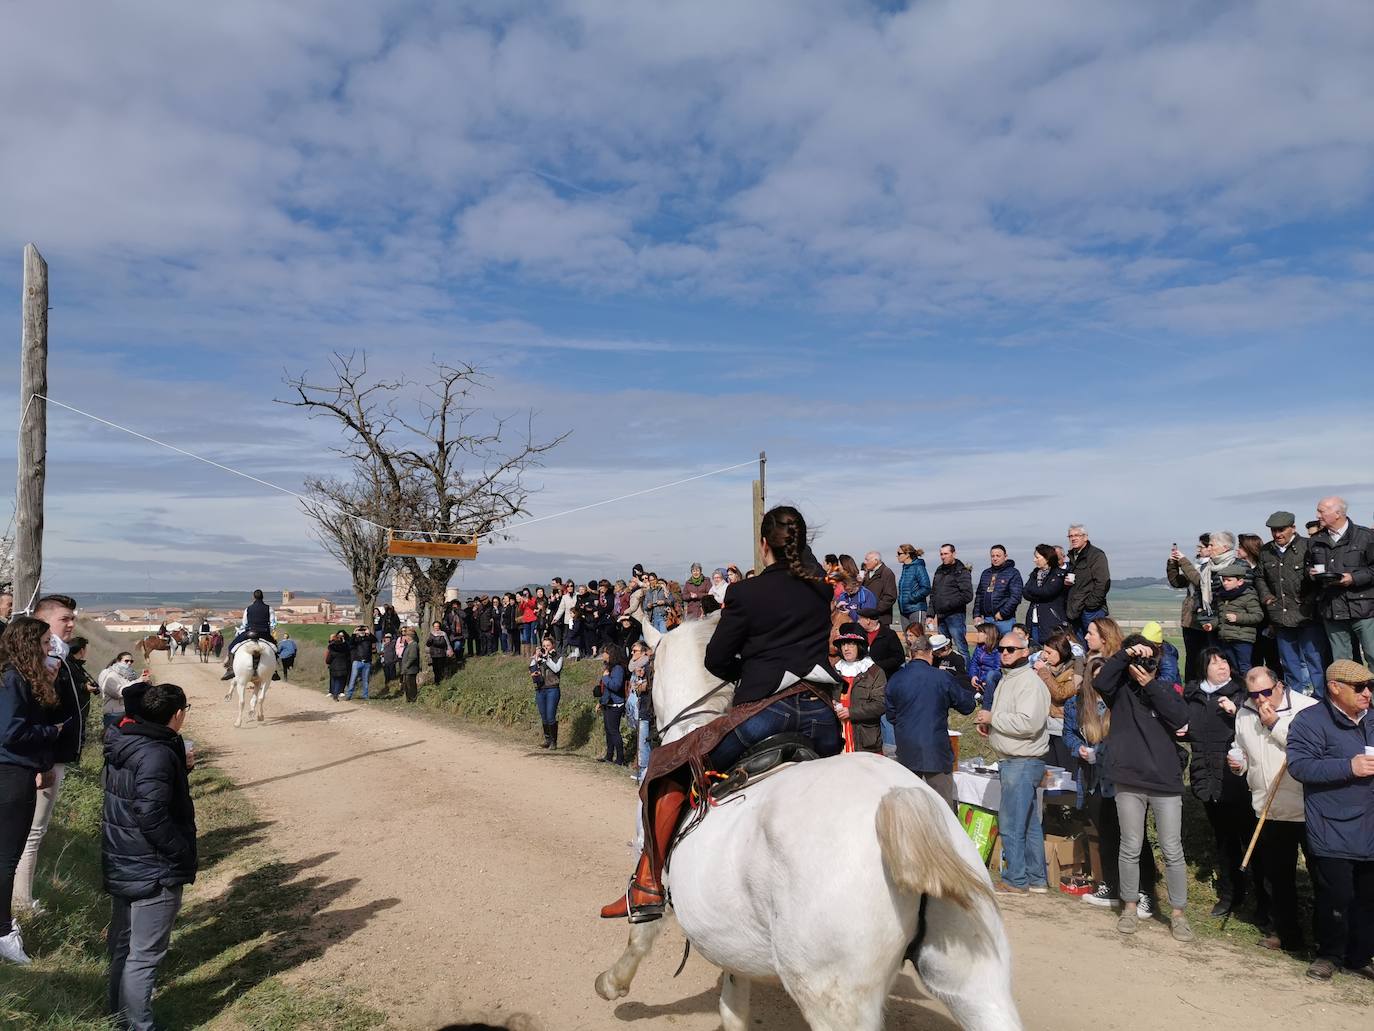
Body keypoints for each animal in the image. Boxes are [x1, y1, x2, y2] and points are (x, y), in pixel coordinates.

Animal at [590, 618, 1022, 1028]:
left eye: (647, 666)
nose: (640, 706)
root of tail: (900, 800)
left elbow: (643, 926)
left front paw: (613, 982)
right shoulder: (731, 939)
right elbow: (733, 1004)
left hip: (834, 996)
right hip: (976, 986)